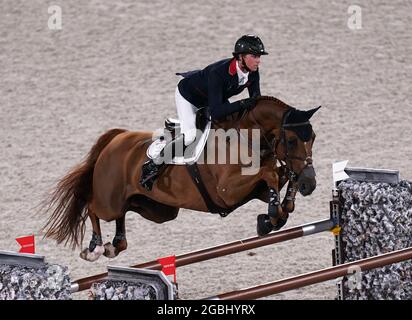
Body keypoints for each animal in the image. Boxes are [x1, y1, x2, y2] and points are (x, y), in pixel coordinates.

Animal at [41, 96, 320, 262]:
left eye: (313, 137)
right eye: (292, 140)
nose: (311, 183)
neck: (246, 137)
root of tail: (115, 138)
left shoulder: (258, 188)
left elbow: (278, 177)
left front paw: (279, 212)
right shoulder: (227, 191)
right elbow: (269, 174)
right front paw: (271, 216)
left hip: (157, 209)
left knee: (124, 212)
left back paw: (116, 244)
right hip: (109, 200)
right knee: (93, 207)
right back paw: (95, 248)